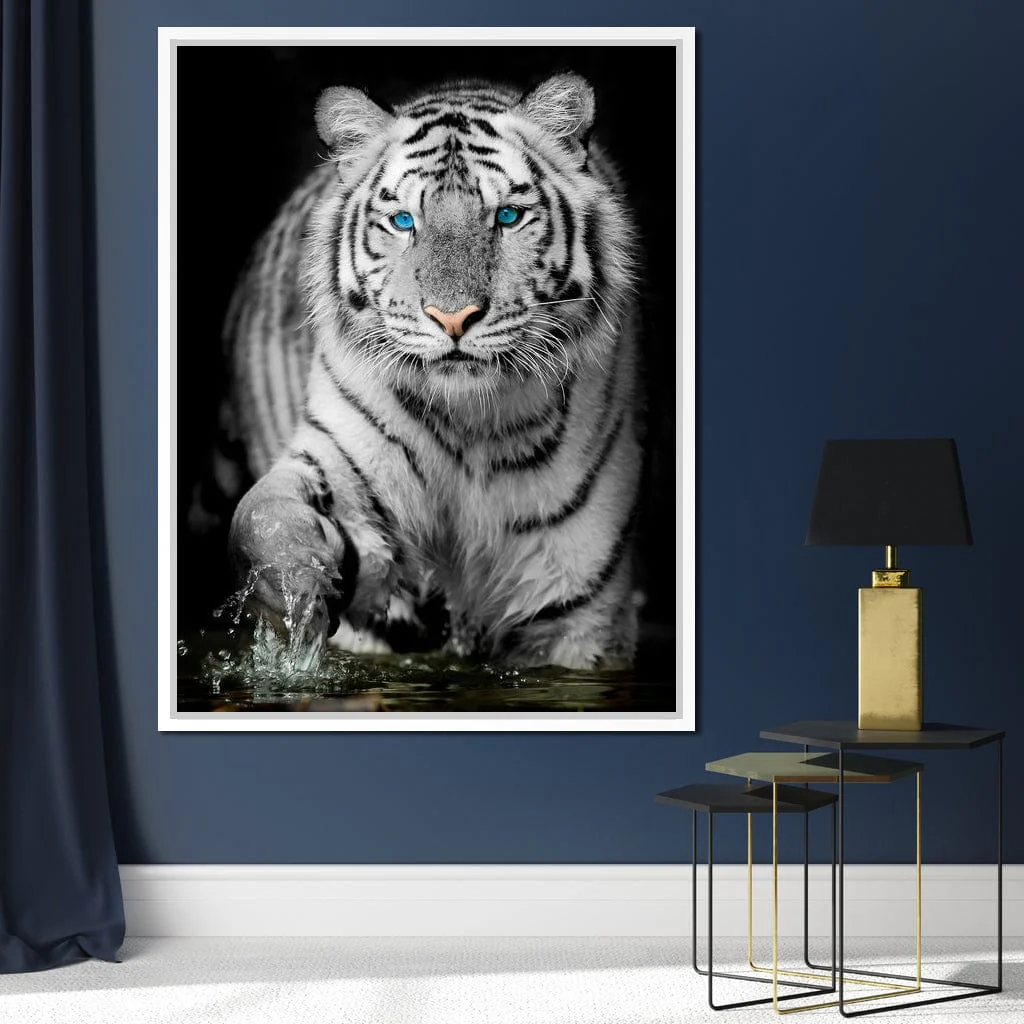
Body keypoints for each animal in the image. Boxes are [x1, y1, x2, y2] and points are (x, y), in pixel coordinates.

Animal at [207, 72, 645, 670]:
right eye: (403, 222)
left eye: (507, 217)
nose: (453, 317)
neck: (472, 426)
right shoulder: (341, 460)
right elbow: (264, 514)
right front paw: (296, 586)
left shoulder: (578, 610)